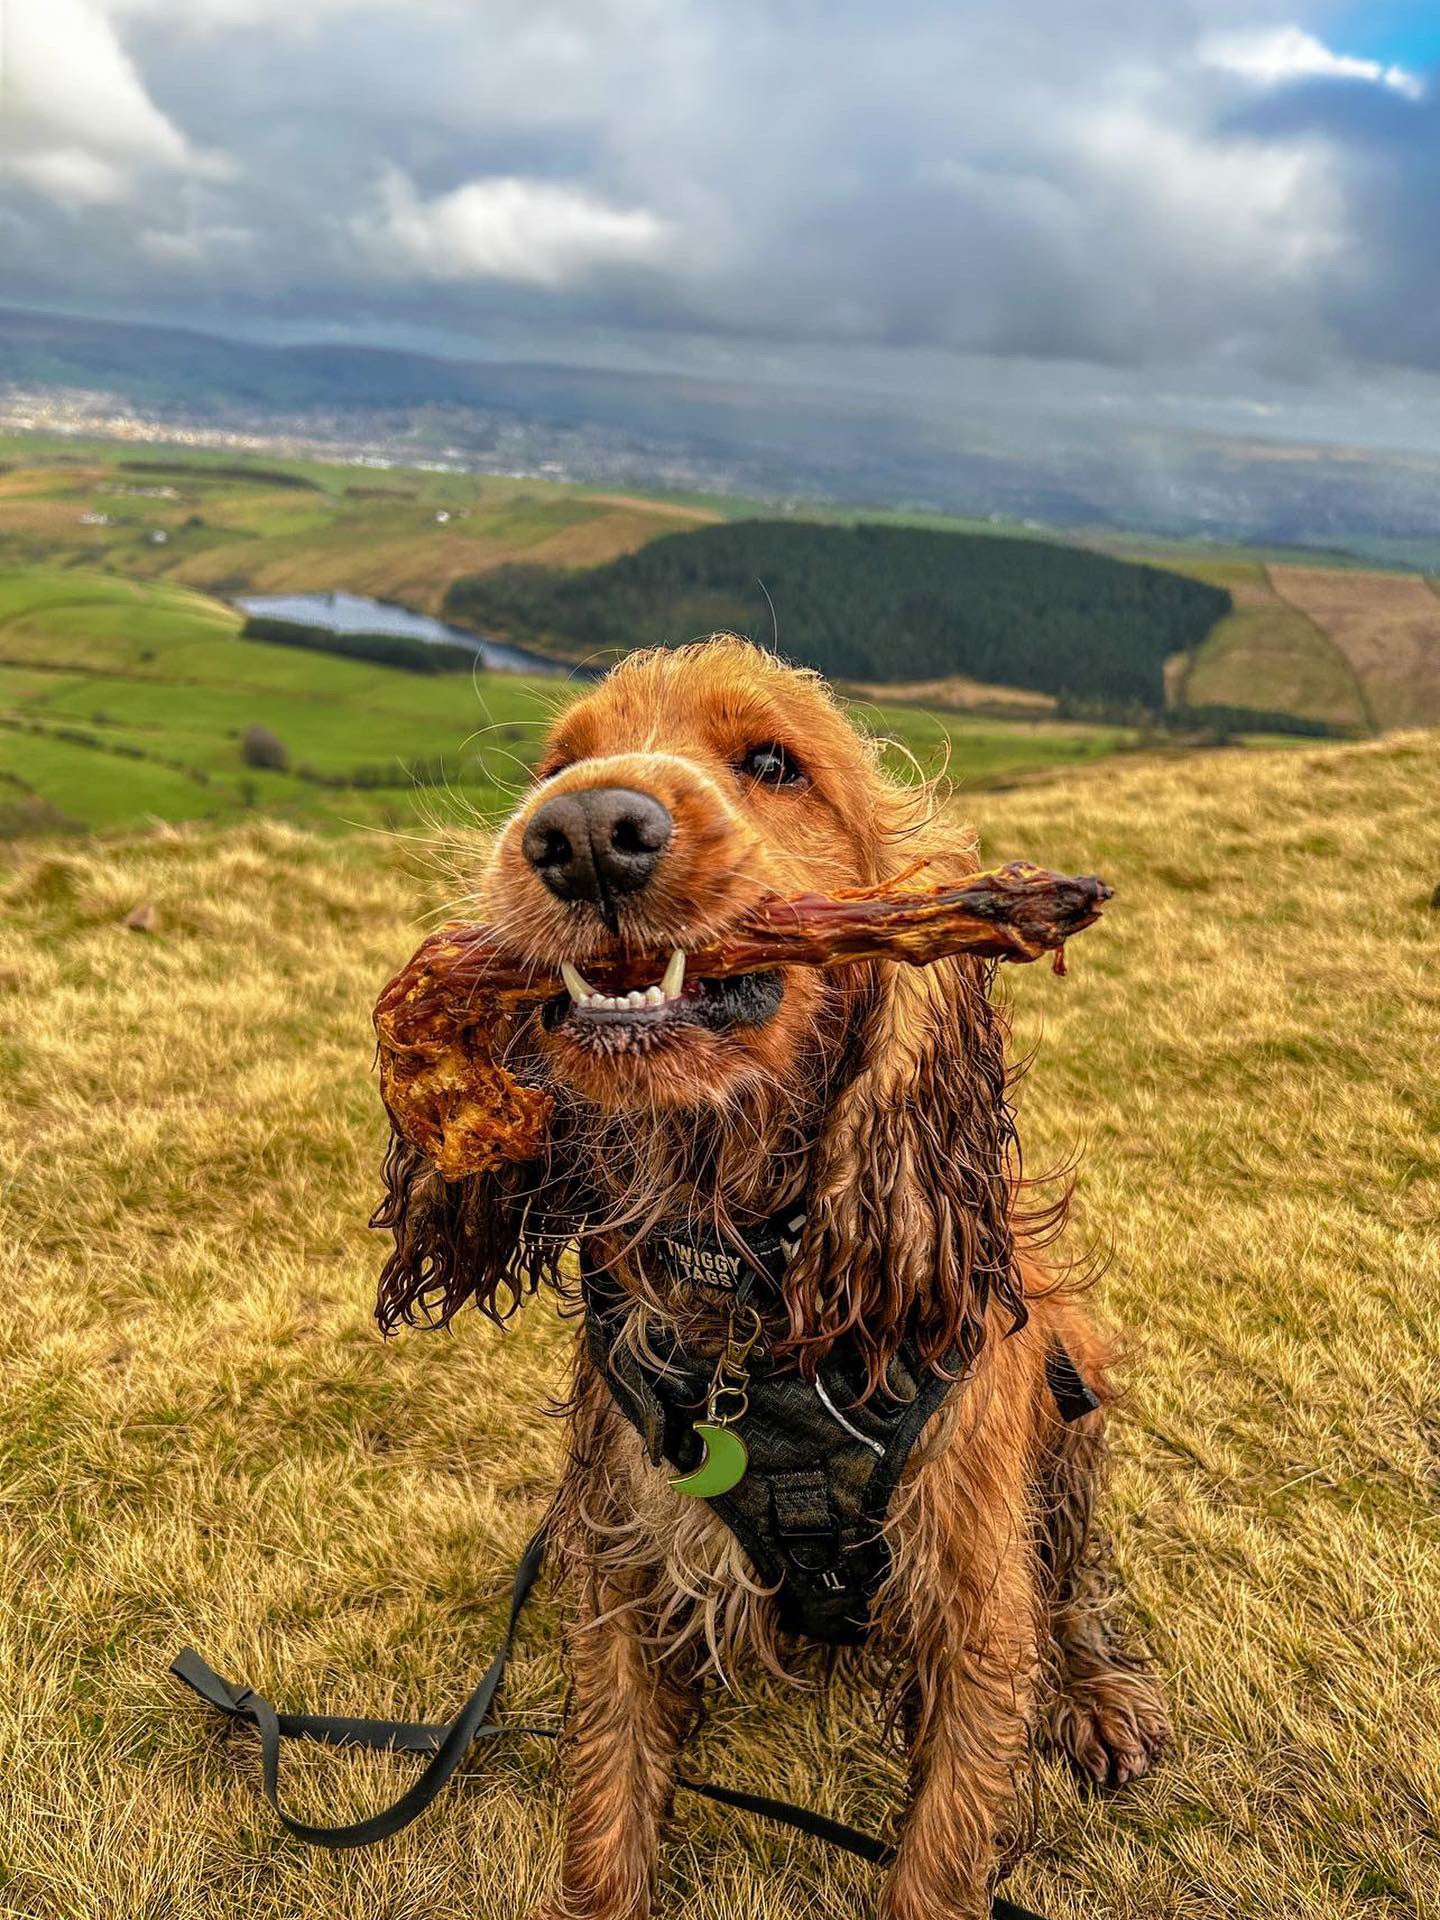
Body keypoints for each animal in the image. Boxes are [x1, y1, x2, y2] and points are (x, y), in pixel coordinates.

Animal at [378, 637, 1167, 1912]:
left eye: (773, 763)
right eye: (557, 766)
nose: (584, 832)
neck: (745, 1273)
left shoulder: (969, 1608)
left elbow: (941, 1851)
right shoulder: (626, 1567)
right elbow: (605, 1821)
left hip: (1075, 1401)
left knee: (1070, 1583)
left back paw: (1096, 1698)